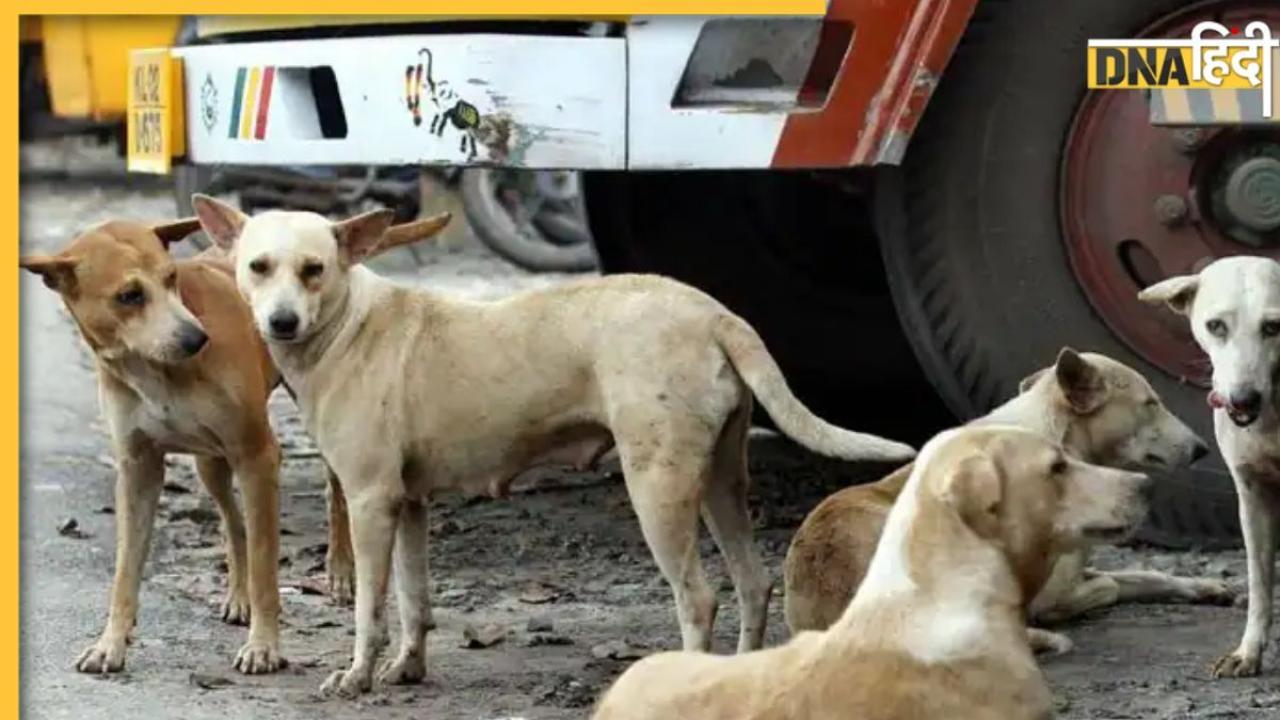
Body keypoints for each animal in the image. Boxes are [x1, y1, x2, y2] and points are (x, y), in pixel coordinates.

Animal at [186, 196, 921, 696]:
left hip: (658, 489)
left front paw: (359, 675)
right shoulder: (410, 505)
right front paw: (408, 668)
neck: (348, 325)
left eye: (314, 270)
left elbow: (371, 607)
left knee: (700, 597)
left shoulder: (370, 504)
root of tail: (713, 312)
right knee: (753, 582)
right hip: (720, 483)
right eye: (257, 267)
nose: (280, 322)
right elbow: (414, 601)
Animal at [783, 348, 1223, 650]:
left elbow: (1144, 575)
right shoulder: (1052, 595)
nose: (1202, 449)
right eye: (1151, 403)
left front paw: (1202, 587)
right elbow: (1108, 586)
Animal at [1141, 253, 1280, 676]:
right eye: (1216, 326)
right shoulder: (1253, 497)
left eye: (1273, 327)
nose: (1243, 399)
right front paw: (1248, 652)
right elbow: (1260, 586)